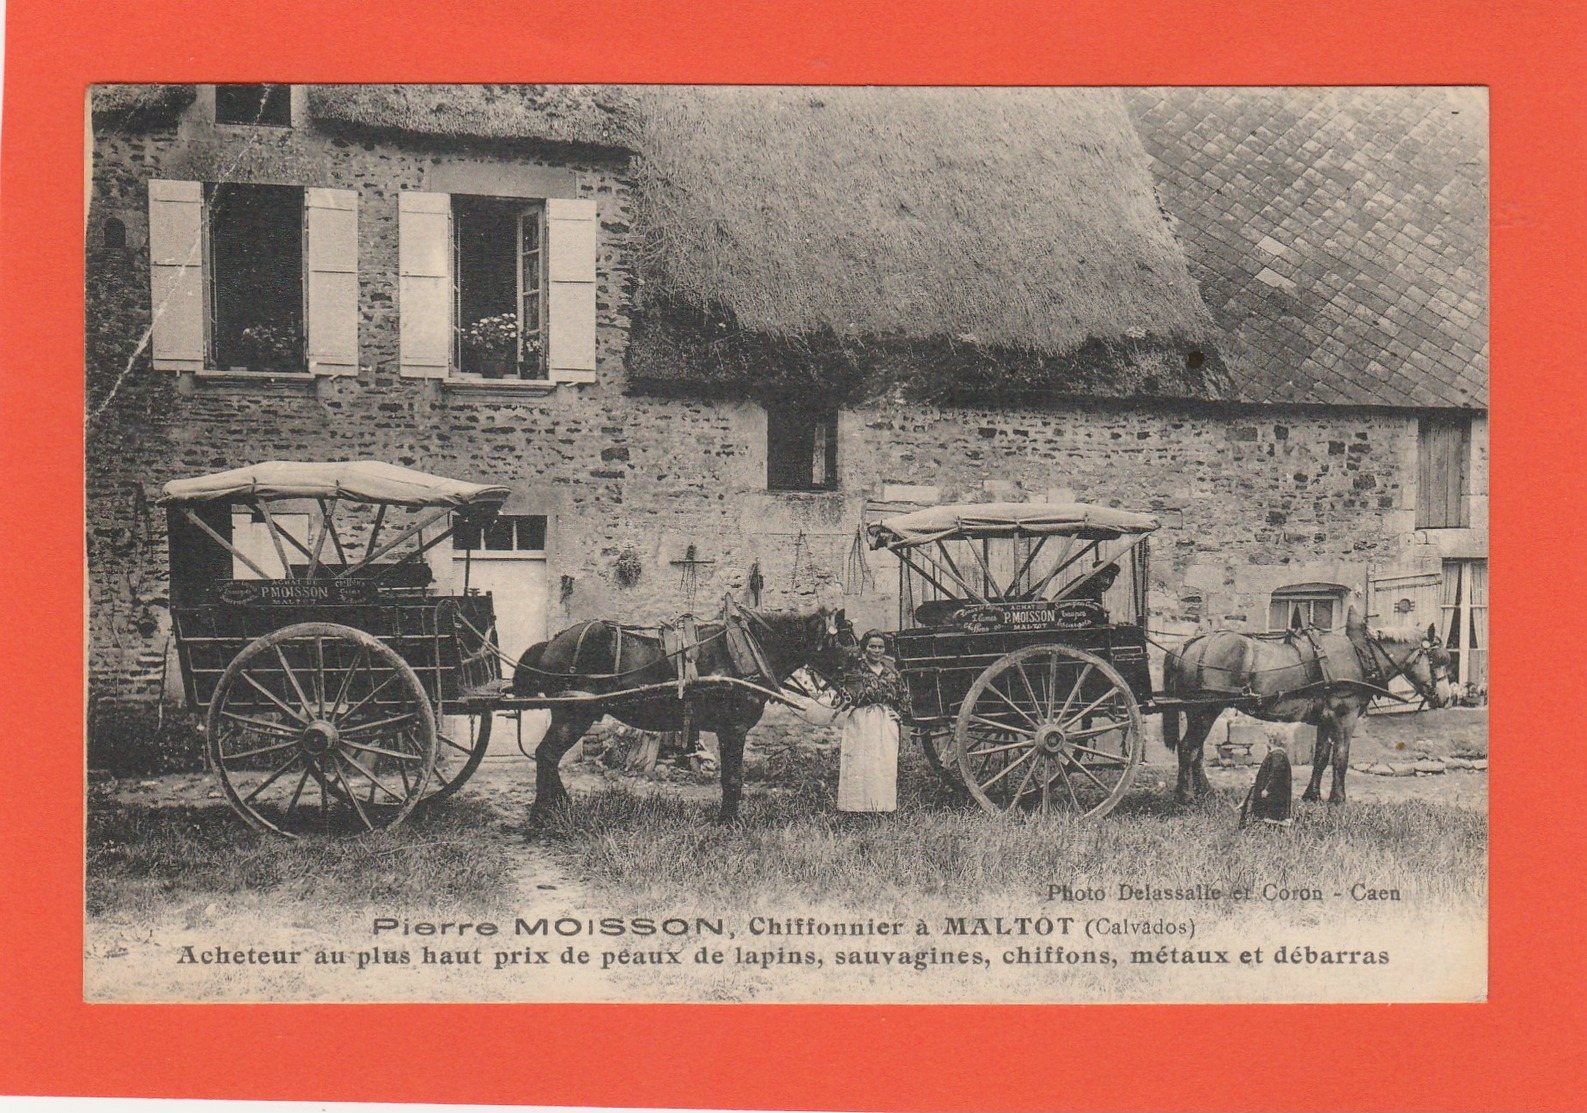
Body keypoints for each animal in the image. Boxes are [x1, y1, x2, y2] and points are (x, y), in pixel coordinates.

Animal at [511, 603, 856, 819]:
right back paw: (543, 815)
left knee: (548, 758)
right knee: (546, 755)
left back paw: (559, 807)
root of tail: (553, 641)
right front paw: (729, 821)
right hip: (573, 715)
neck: (746, 648)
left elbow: (730, 778)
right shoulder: (733, 729)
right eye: (846, 642)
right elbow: (733, 778)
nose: (860, 687)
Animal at [1168, 603, 1453, 803]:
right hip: (1205, 710)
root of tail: (1191, 644)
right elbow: (1341, 757)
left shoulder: (1325, 718)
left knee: (1195, 751)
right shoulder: (1344, 715)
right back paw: (1186, 797)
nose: (1447, 698)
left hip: (1199, 711)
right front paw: (1338, 799)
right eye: (1438, 659)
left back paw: (1204, 791)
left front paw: (1312, 795)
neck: (1361, 655)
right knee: (1189, 749)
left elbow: (1321, 757)